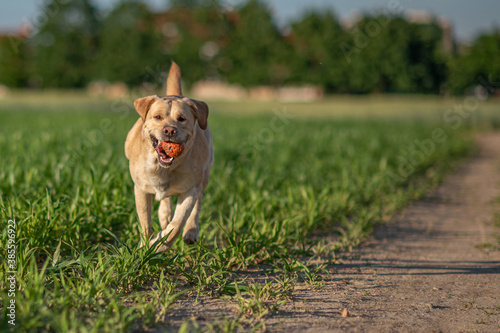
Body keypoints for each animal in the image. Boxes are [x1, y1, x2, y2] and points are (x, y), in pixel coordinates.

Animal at [124, 62, 213, 250]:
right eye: (157, 117)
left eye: (182, 119)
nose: (169, 130)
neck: (163, 168)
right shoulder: (140, 189)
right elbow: (145, 222)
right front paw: (145, 246)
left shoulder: (190, 189)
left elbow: (177, 224)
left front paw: (160, 245)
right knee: (165, 201)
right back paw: (164, 215)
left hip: (205, 175)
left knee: (197, 205)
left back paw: (191, 232)